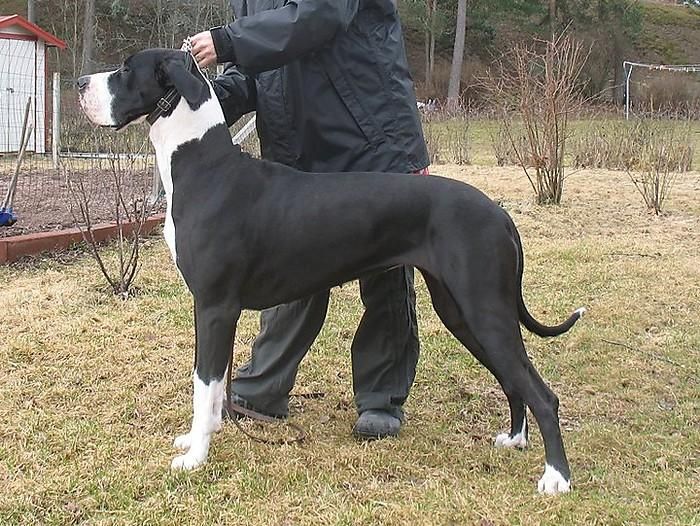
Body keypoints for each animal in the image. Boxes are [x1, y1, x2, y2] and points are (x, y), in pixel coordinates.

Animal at [77, 49, 585, 495]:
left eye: (126, 70)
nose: (80, 82)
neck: (202, 164)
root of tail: (500, 214)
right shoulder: (212, 311)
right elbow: (213, 383)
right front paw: (201, 437)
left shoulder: (216, 306)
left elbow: (204, 384)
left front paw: (195, 457)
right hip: (461, 310)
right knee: (511, 378)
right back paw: (514, 439)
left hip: (484, 309)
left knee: (542, 393)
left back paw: (556, 478)